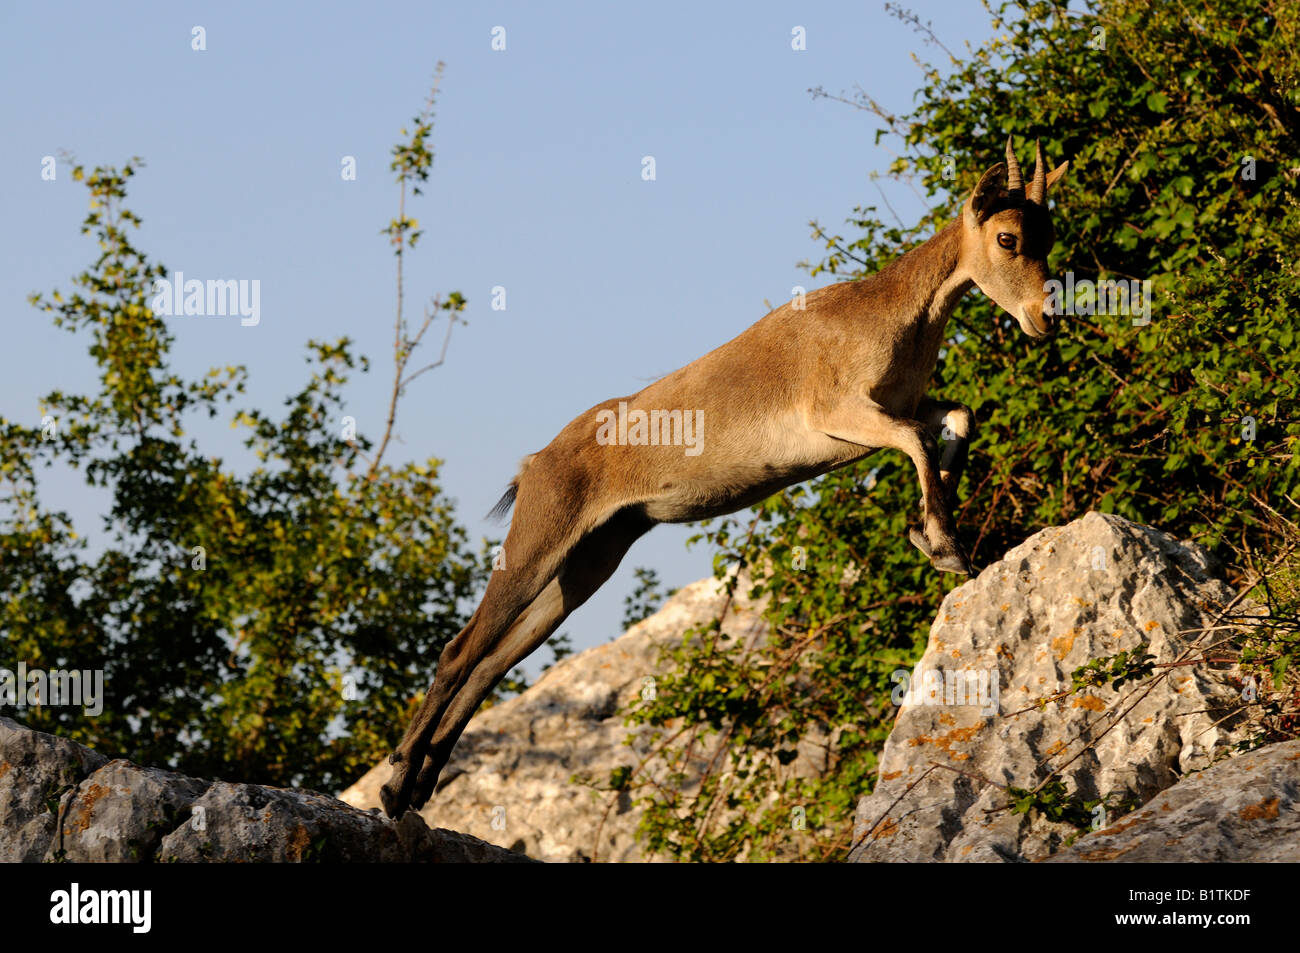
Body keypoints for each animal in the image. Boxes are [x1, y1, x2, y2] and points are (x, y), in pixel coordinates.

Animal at [379, 135, 1071, 816]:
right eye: (1008, 238)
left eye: (1049, 235)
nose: (1046, 317)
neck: (890, 314)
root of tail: (535, 465)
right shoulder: (838, 413)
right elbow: (918, 440)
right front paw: (943, 543)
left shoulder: (900, 405)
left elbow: (957, 417)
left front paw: (935, 537)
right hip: (538, 541)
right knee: (460, 650)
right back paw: (393, 784)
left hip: (589, 561)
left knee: (493, 662)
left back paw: (419, 787)